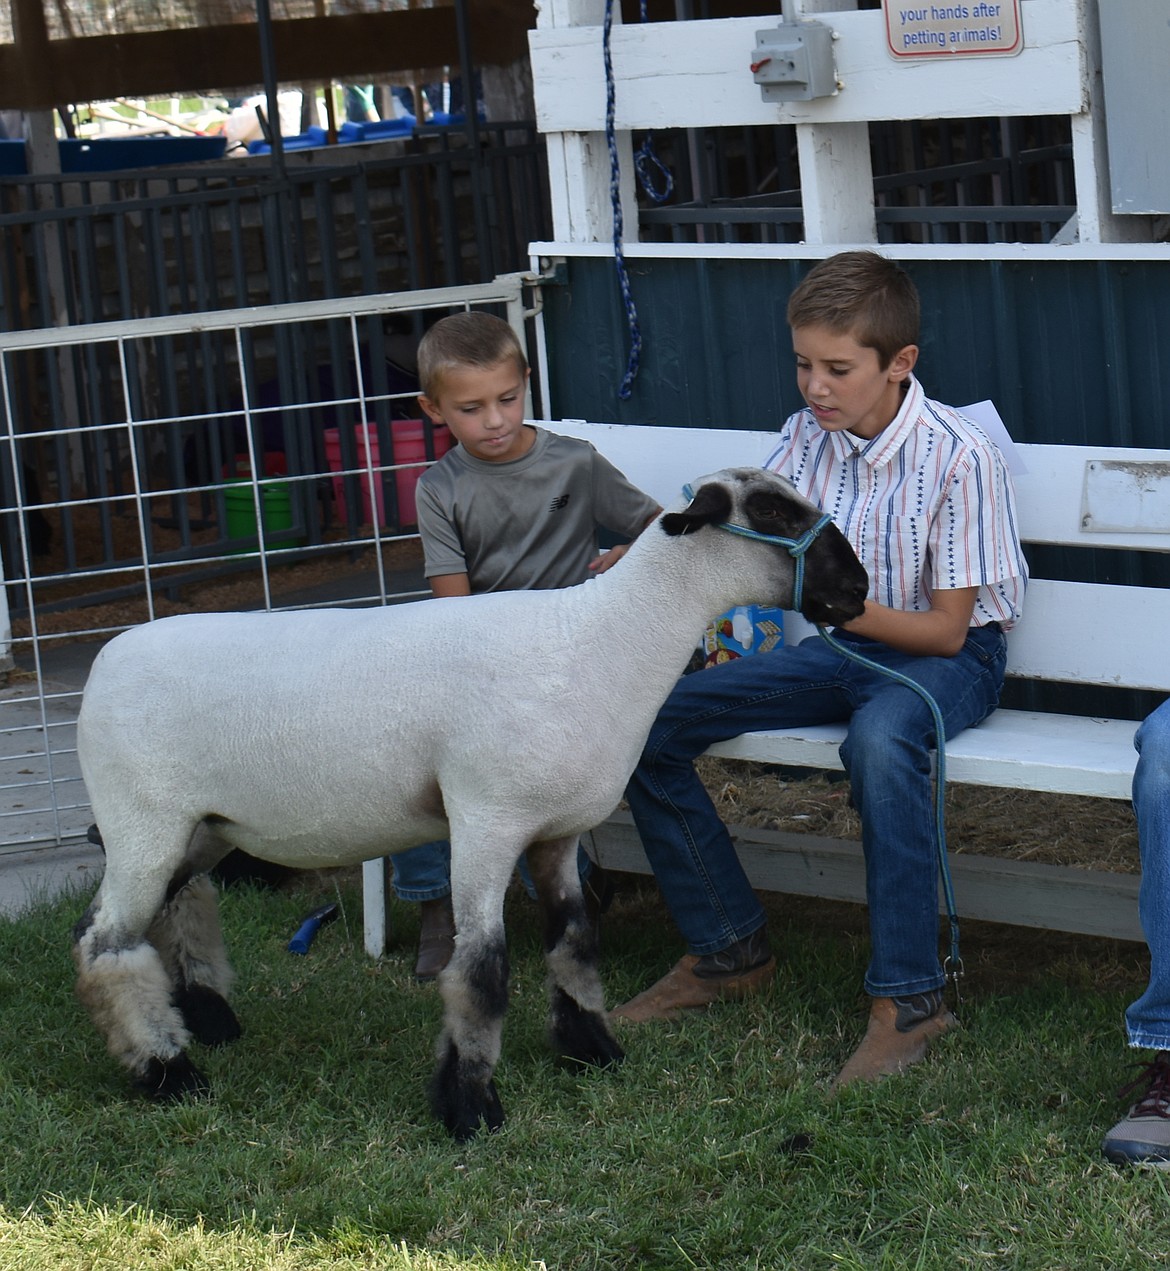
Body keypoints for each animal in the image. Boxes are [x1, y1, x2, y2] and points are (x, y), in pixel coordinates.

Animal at [72, 467, 869, 1139]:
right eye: (770, 511)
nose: (859, 586)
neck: (602, 642)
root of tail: (105, 659)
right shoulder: (486, 821)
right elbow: (481, 970)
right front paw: (470, 1106)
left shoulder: (555, 832)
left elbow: (574, 943)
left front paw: (591, 1050)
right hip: (142, 820)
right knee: (105, 944)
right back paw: (168, 1072)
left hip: (200, 825)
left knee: (172, 908)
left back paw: (207, 1022)